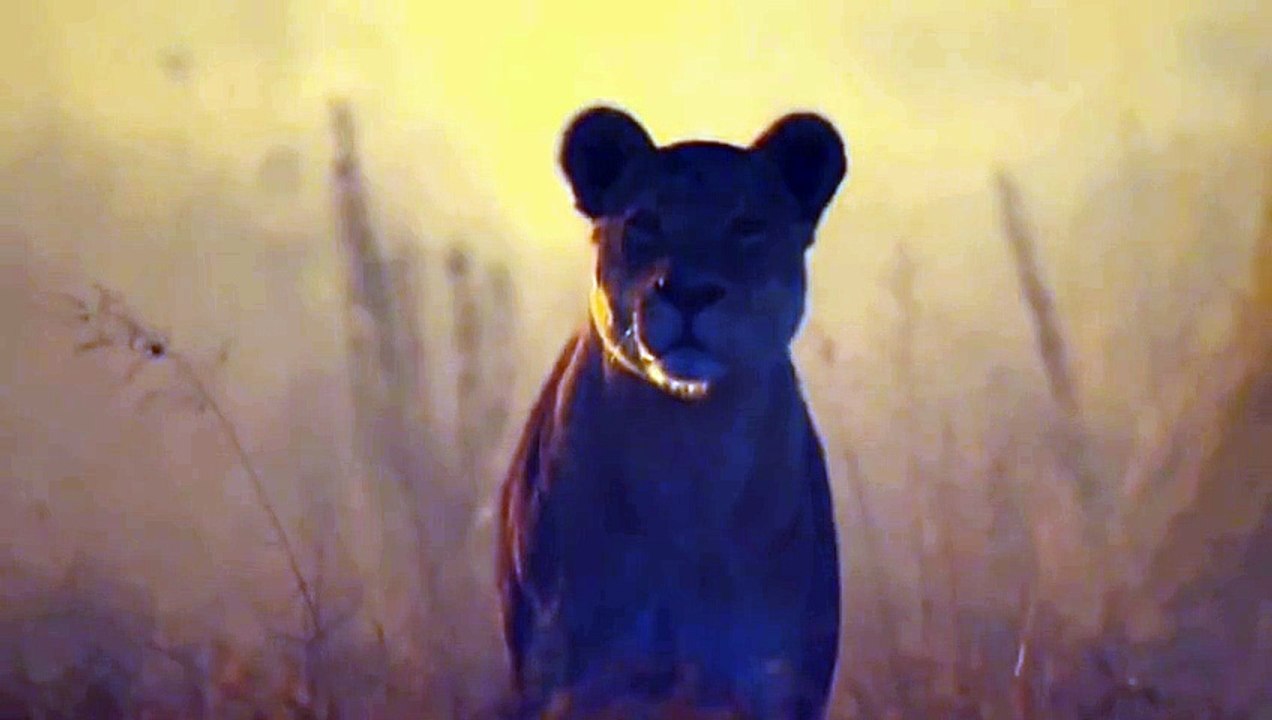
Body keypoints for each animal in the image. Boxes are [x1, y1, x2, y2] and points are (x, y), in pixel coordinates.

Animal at [497, 106, 848, 720]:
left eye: (747, 226)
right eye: (645, 222)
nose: (686, 292)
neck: (688, 451)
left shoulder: (777, 685)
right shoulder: (567, 685)